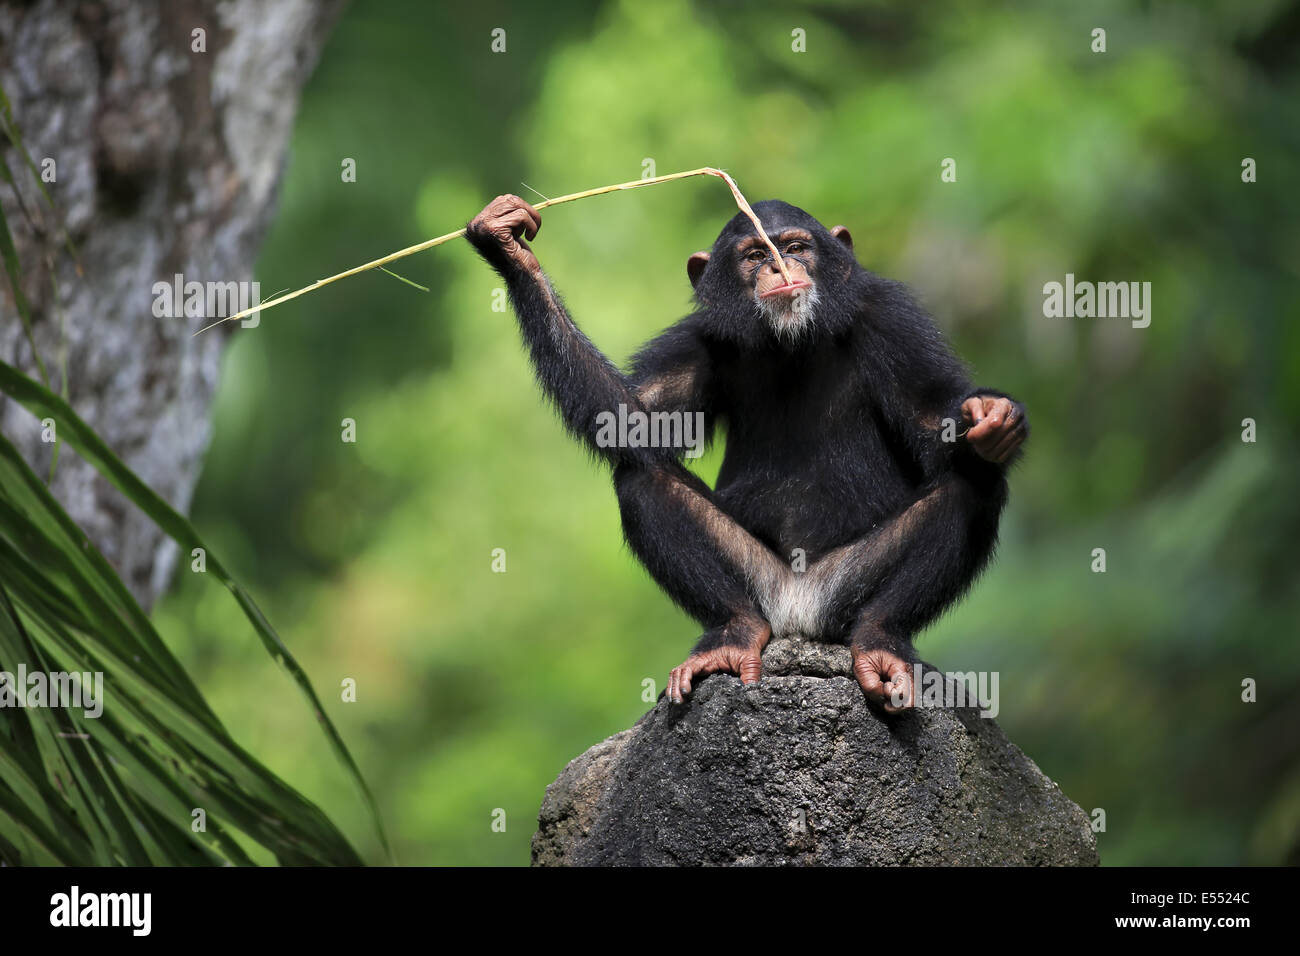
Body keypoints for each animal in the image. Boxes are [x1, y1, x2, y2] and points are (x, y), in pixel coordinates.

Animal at [467, 192, 1024, 712]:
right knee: (641, 477)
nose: (779, 266)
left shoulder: (892, 317)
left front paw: (992, 416)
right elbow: (631, 422)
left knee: (974, 482)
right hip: (763, 585)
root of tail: (799, 619)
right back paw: (734, 636)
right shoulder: (700, 337)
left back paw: (880, 641)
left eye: (795, 247)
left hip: (844, 592)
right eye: (755, 255)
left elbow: (933, 421)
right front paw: (507, 243)